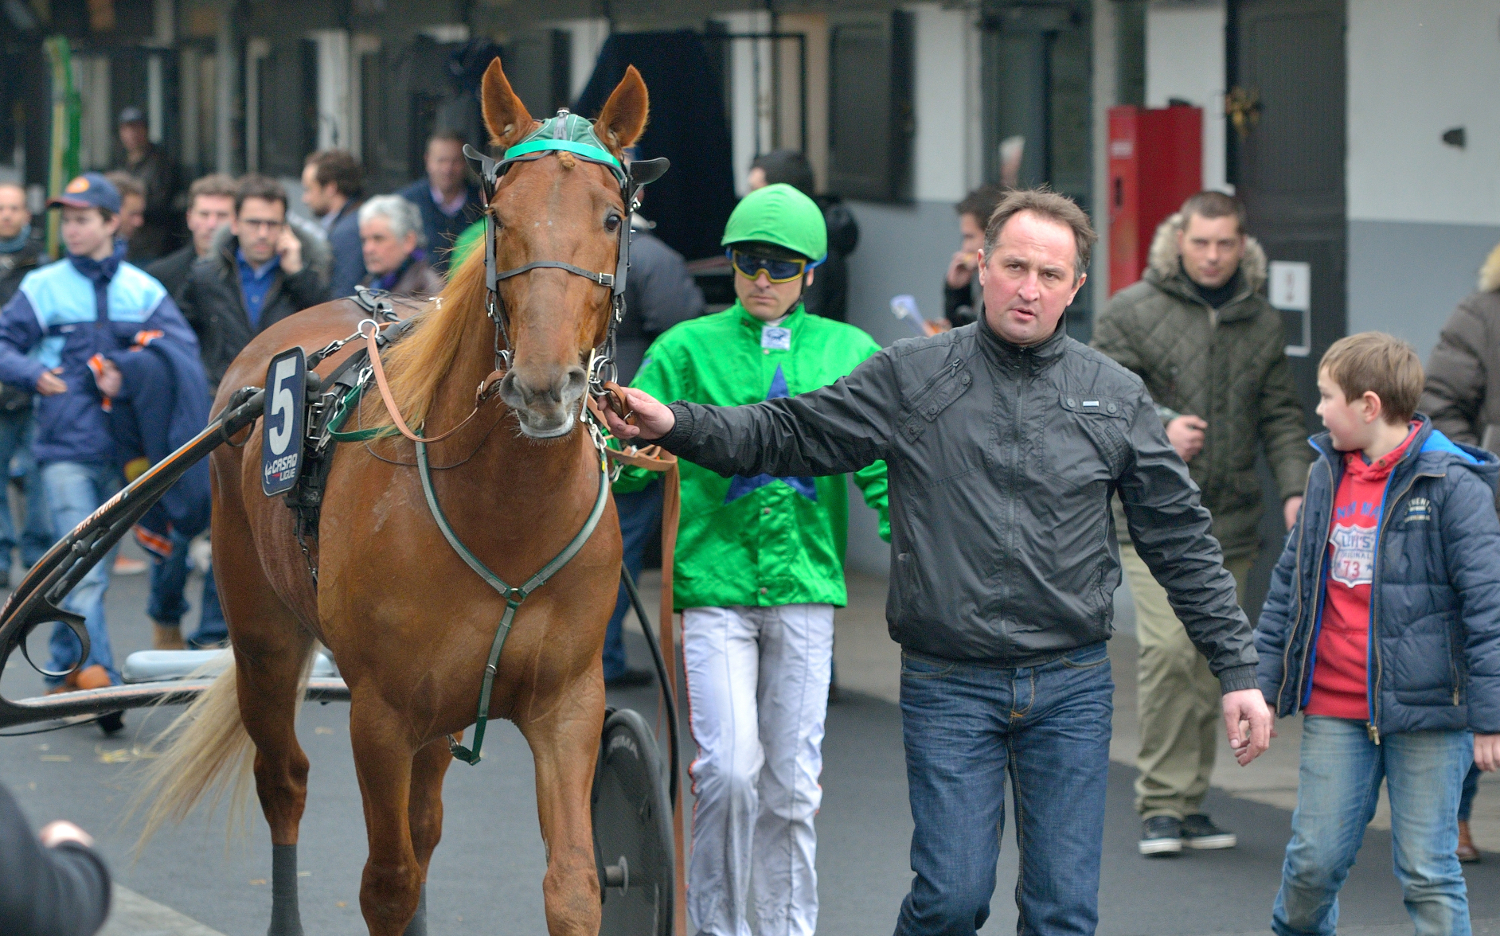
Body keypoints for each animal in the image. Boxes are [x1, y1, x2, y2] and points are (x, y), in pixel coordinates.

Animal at [132, 60, 642, 936]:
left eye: (611, 217)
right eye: (499, 218)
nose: (545, 384)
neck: (505, 516)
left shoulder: (568, 702)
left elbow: (573, 885)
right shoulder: (380, 713)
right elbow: (389, 883)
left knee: (427, 819)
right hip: (263, 637)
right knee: (286, 781)